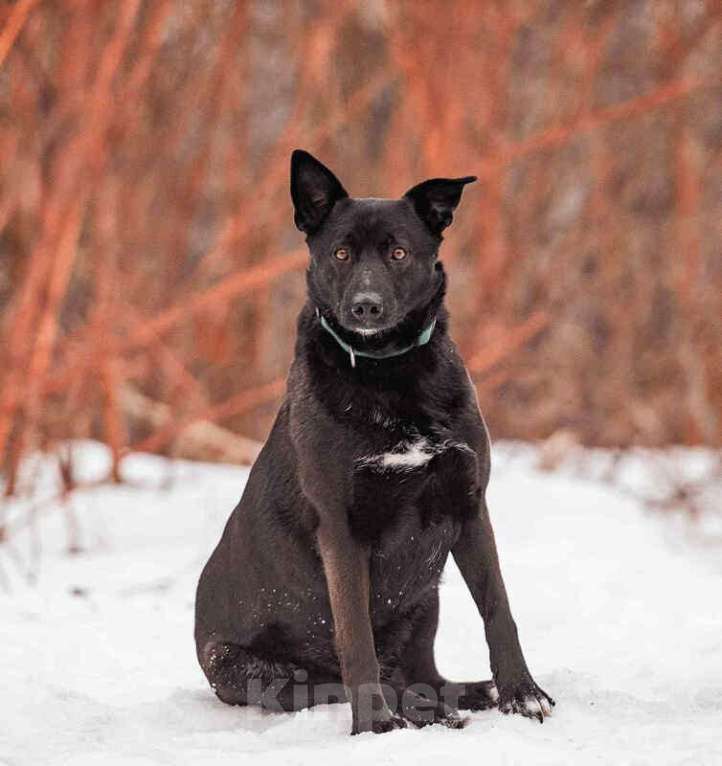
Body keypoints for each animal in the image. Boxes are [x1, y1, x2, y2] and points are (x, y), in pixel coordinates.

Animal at [194, 152, 556, 736]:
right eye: (340, 252)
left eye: (399, 252)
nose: (365, 307)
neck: (388, 372)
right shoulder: (342, 530)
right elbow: (355, 639)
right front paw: (374, 728)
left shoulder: (469, 506)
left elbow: (498, 609)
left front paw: (522, 695)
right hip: (235, 662)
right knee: (332, 684)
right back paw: (412, 709)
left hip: (425, 600)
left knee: (425, 675)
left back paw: (459, 697)